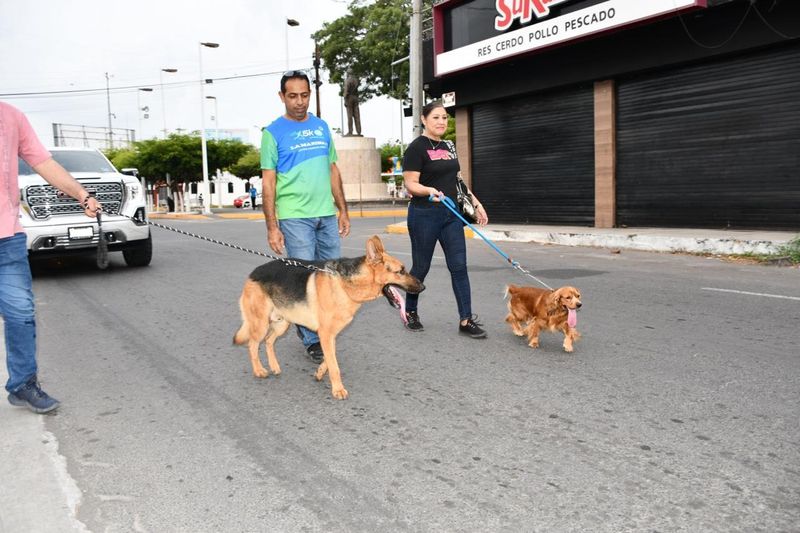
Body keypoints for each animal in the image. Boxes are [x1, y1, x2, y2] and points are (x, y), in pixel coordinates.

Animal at [233, 235, 424, 396]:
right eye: (401, 271)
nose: (423, 287)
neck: (345, 285)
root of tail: (252, 273)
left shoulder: (330, 335)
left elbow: (329, 359)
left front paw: (319, 373)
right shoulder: (325, 334)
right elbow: (334, 365)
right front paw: (338, 389)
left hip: (282, 324)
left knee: (268, 341)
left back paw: (274, 366)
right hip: (261, 324)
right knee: (252, 345)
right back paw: (259, 370)